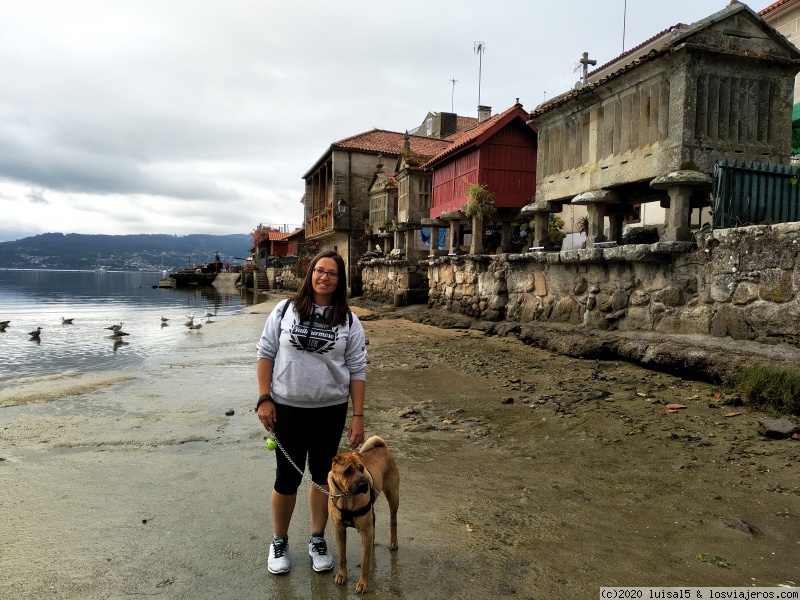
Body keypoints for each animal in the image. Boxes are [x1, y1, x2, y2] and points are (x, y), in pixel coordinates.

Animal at [326, 434, 398, 592]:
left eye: (361, 468)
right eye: (347, 471)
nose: (364, 484)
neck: (346, 498)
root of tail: (382, 447)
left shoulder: (365, 531)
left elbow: (365, 562)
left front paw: (363, 583)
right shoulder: (339, 529)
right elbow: (342, 556)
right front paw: (341, 575)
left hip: (393, 495)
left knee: (393, 521)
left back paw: (393, 542)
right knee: (374, 519)